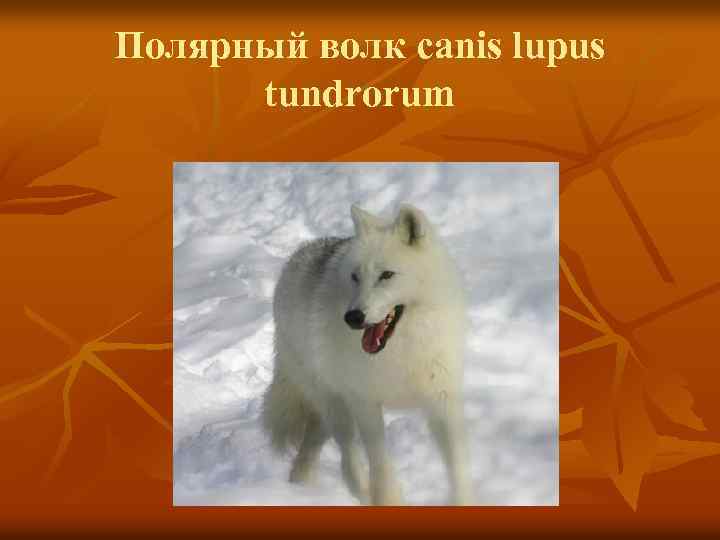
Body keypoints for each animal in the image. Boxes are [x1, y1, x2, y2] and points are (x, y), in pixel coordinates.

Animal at [261, 204, 472, 505]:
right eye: (355, 277)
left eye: (386, 275)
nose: (353, 317)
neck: (401, 352)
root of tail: (298, 256)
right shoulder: (364, 402)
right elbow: (379, 463)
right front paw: (388, 501)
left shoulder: (442, 399)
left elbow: (457, 465)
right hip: (335, 403)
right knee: (348, 458)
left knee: (313, 444)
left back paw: (299, 486)